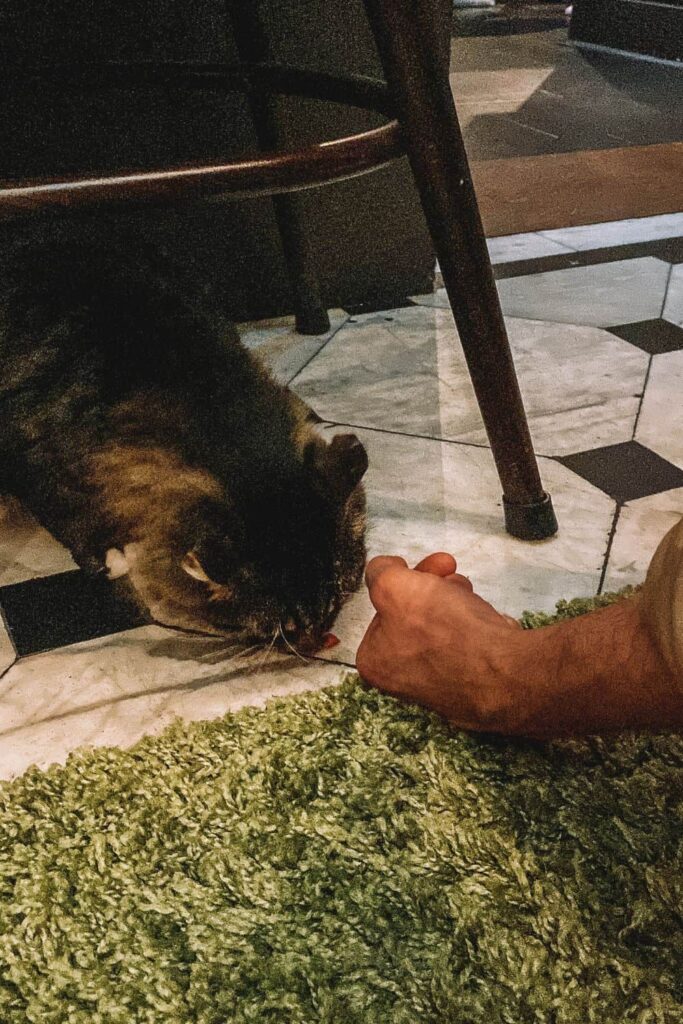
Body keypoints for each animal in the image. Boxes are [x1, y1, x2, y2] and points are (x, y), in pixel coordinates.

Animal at [0, 240, 368, 651]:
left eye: (334, 604)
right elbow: (74, 524)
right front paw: (103, 561)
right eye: (286, 629)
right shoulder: (38, 465)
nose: (315, 640)